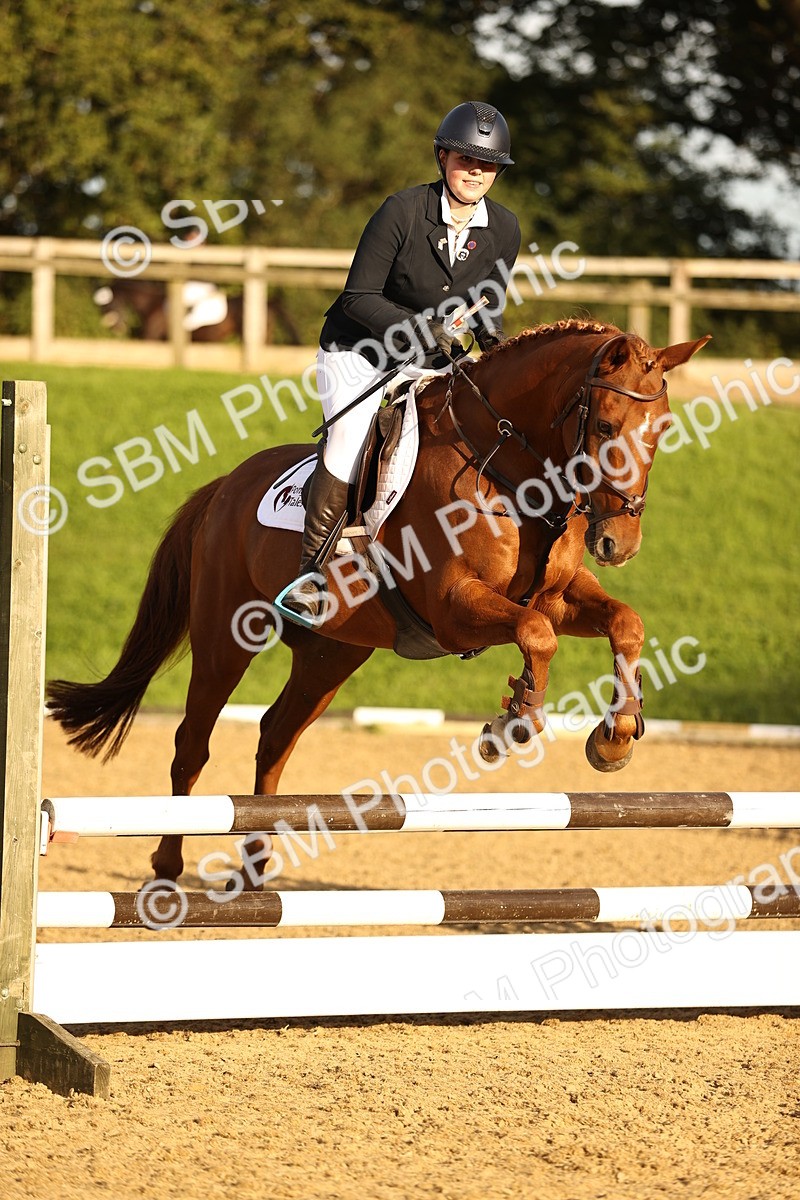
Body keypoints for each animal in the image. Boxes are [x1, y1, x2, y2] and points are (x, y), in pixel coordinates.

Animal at [47, 318, 710, 887]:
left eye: (663, 429)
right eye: (605, 427)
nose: (618, 543)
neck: (513, 468)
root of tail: (223, 488)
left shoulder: (557, 596)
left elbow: (623, 623)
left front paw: (615, 736)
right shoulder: (453, 607)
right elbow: (535, 635)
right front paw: (513, 723)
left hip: (332, 654)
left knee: (275, 736)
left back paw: (256, 869)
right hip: (224, 640)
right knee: (192, 745)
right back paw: (166, 866)